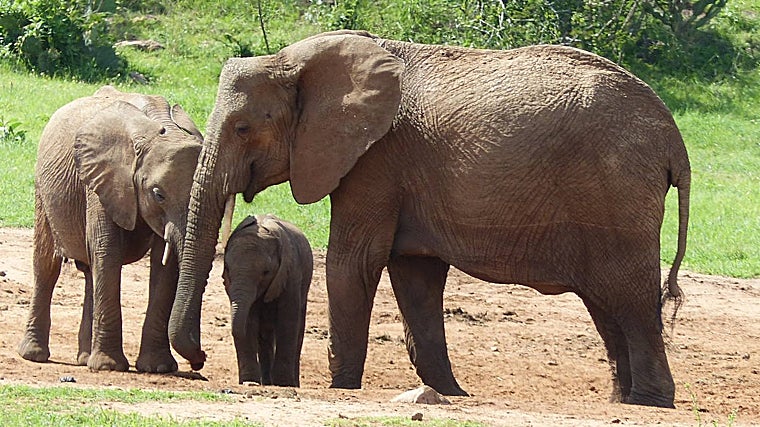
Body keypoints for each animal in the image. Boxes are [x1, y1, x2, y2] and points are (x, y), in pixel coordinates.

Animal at [18, 85, 203, 372]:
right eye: (158, 194)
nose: (199, 361)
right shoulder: (102, 182)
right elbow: (108, 251)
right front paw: (109, 366)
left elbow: (164, 265)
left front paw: (158, 368)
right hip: (42, 190)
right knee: (47, 265)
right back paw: (34, 355)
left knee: (89, 272)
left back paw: (84, 359)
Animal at [222, 214, 313, 386]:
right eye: (228, 269)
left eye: (266, 272)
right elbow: (249, 321)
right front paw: (249, 381)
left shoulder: (291, 274)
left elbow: (287, 321)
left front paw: (283, 383)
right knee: (265, 336)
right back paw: (267, 381)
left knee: (298, 331)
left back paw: (291, 383)